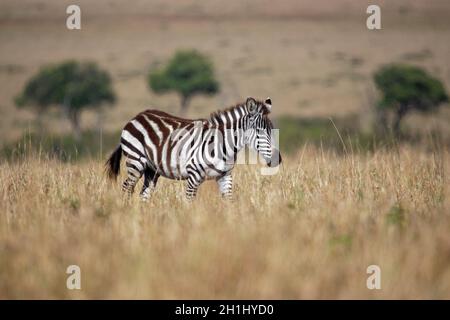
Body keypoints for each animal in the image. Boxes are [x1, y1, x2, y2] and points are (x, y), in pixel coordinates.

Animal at [105, 97, 282, 200]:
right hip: (136, 162)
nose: (277, 160)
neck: (223, 145)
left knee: (144, 194)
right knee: (127, 188)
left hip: (152, 169)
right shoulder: (193, 176)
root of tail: (137, 116)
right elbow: (189, 204)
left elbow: (229, 201)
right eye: (259, 132)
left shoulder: (225, 176)